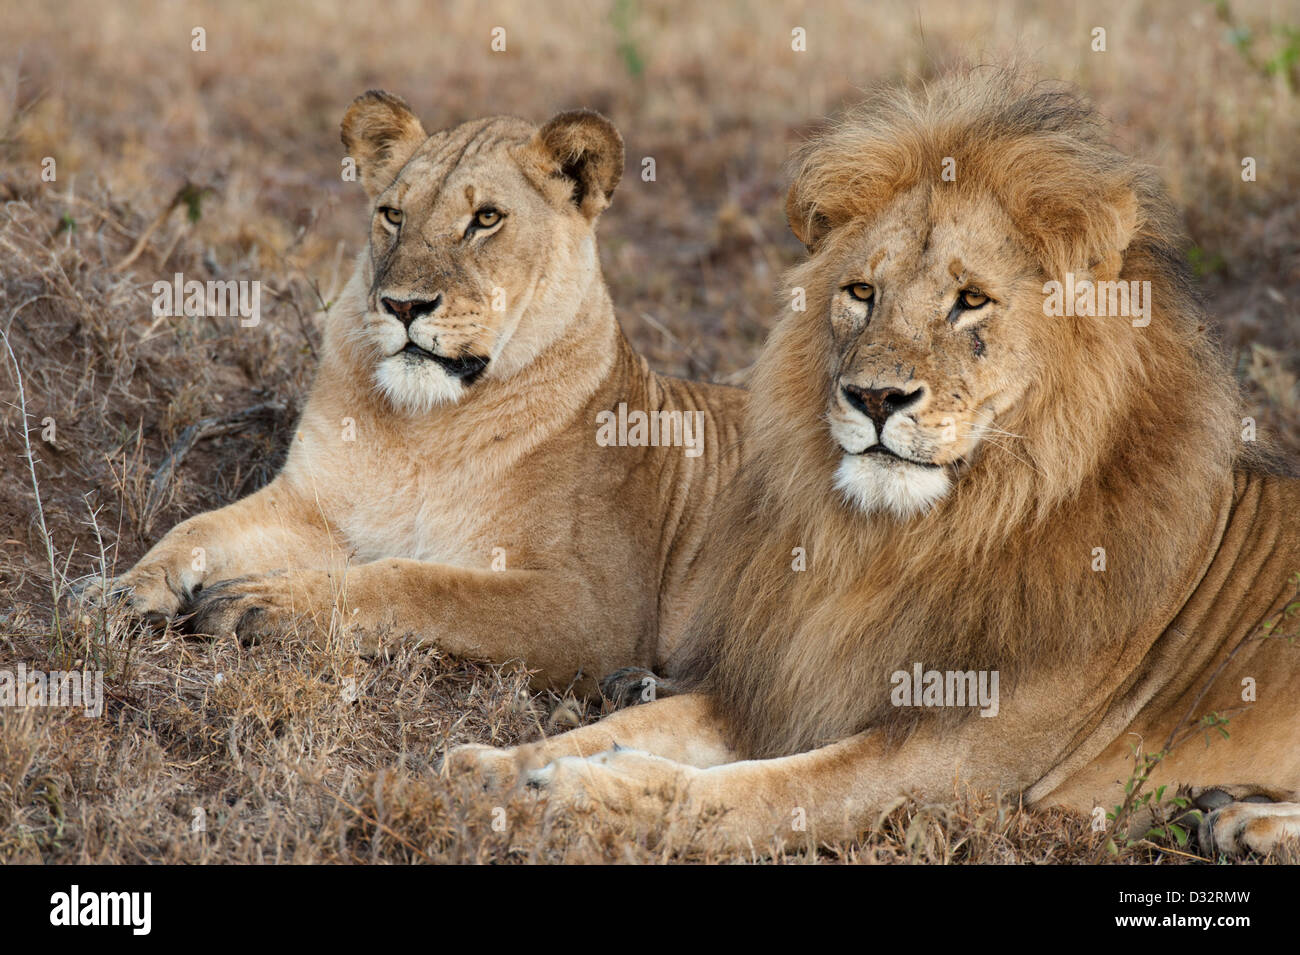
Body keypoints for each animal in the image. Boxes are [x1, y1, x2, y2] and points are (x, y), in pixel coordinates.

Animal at [94, 91, 745, 694]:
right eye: (392, 215)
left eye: (486, 218)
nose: (403, 305)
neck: (424, 430)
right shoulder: (314, 508)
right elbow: (197, 528)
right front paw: (121, 589)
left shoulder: (596, 608)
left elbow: (423, 583)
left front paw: (261, 601)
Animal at [446, 70, 1300, 858]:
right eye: (861, 291)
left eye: (971, 300)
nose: (876, 397)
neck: (909, 544)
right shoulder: (793, 684)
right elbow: (637, 724)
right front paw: (492, 768)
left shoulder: (954, 760)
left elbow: (759, 791)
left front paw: (583, 796)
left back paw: (1249, 821)